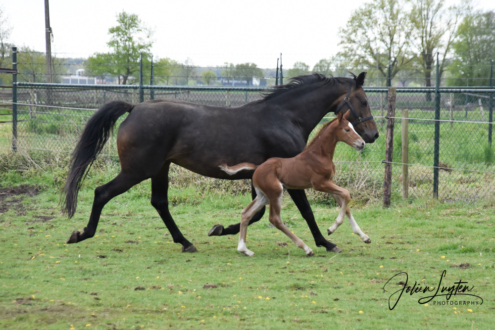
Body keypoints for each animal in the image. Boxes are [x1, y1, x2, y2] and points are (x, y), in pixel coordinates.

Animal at [221, 112, 372, 256]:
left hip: (263, 196)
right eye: (347, 129)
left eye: (353, 127)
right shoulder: (320, 184)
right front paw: (331, 228)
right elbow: (346, 194)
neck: (319, 155)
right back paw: (306, 248)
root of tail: (257, 167)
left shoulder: (330, 182)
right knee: (275, 219)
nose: (362, 143)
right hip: (276, 192)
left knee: (246, 213)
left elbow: (345, 205)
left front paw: (364, 237)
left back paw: (244, 250)